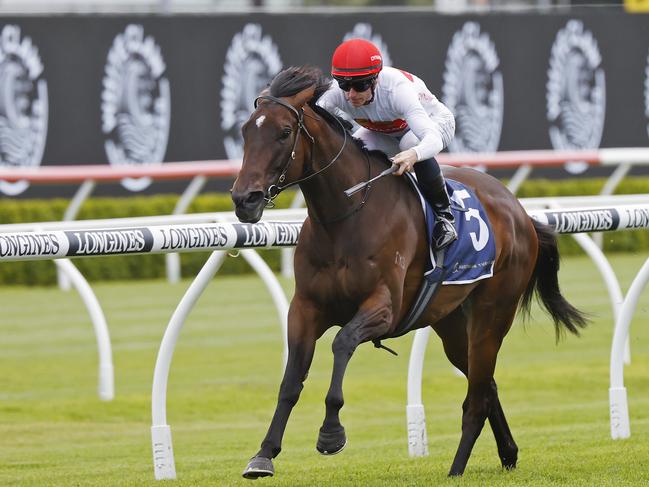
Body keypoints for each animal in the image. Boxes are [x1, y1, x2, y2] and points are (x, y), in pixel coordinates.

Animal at [229, 66, 588, 482]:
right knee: (486, 385)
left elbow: (342, 343)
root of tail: (520, 212)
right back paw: (508, 453)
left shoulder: (384, 307)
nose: (244, 199)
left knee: (477, 398)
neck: (347, 214)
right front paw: (263, 455)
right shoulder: (305, 308)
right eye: (246, 131)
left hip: (493, 313)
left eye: (284, 132)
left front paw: (331, 432)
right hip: (452, 323)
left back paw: (456, 469)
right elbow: (290, 380)